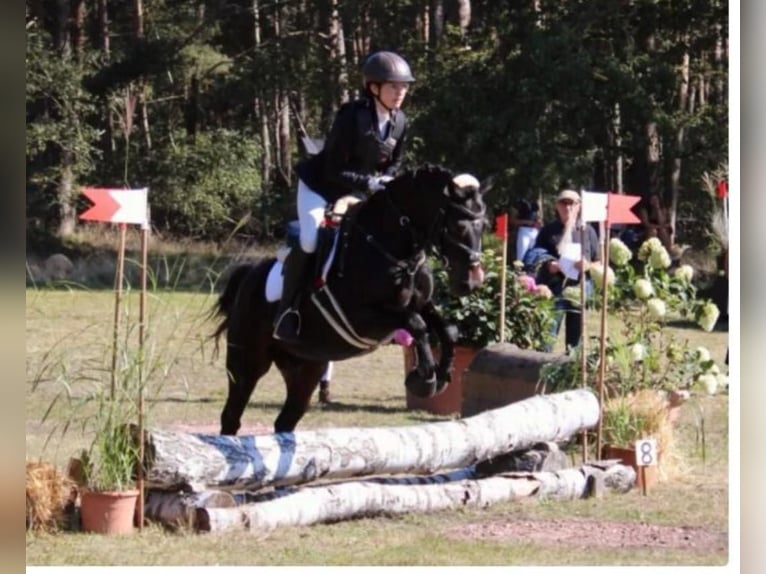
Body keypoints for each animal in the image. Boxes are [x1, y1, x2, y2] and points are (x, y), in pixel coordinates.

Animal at [212, 165, 488, 434]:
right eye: (457, 225)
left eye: (483, 225)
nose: (472, 281)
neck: (392, 250)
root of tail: (249, 275)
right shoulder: (363, 318)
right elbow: (417, 324)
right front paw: (425, 380)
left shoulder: (421, 304)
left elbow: (447, 330)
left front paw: (441, 376)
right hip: (247, 364)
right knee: (232, 416)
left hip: (306, 366)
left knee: (285, 421)